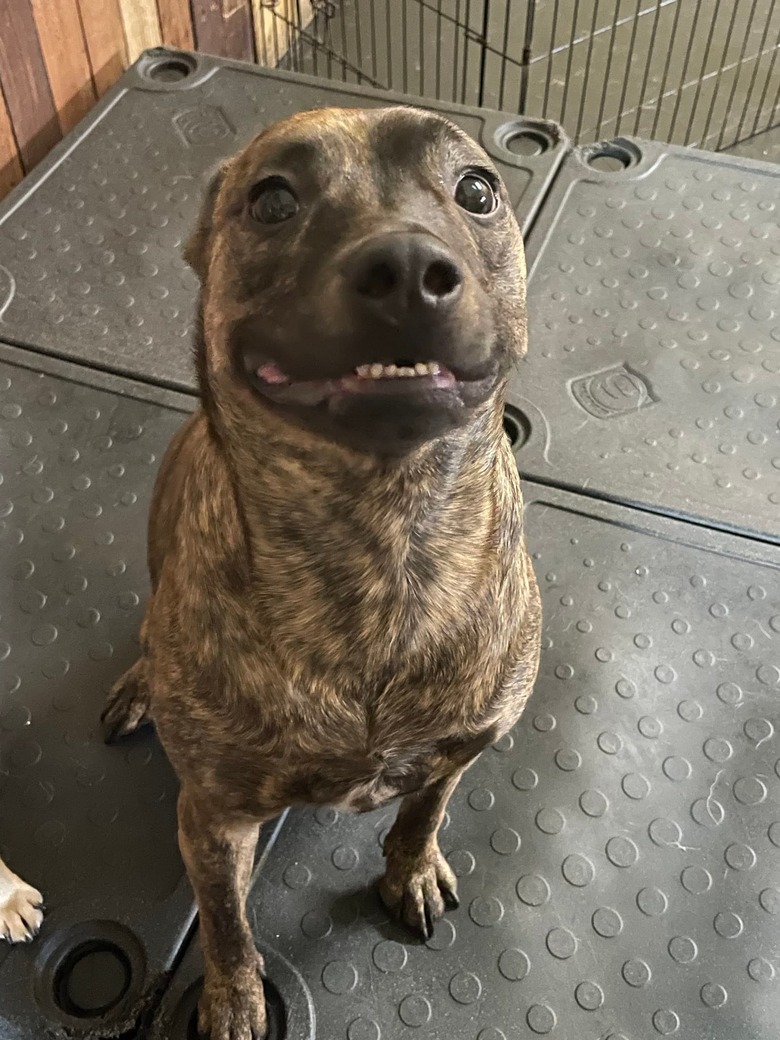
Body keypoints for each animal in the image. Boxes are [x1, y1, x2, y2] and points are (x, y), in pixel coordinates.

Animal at [102, 107, 544, 1040]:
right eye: (273, 199)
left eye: (478, 190)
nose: (409, 269)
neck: (381, 540)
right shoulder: (212, 817)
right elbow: (226, 923)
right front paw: (234, 999)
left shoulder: (459, 751)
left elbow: (423, 810)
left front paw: (410, 869)